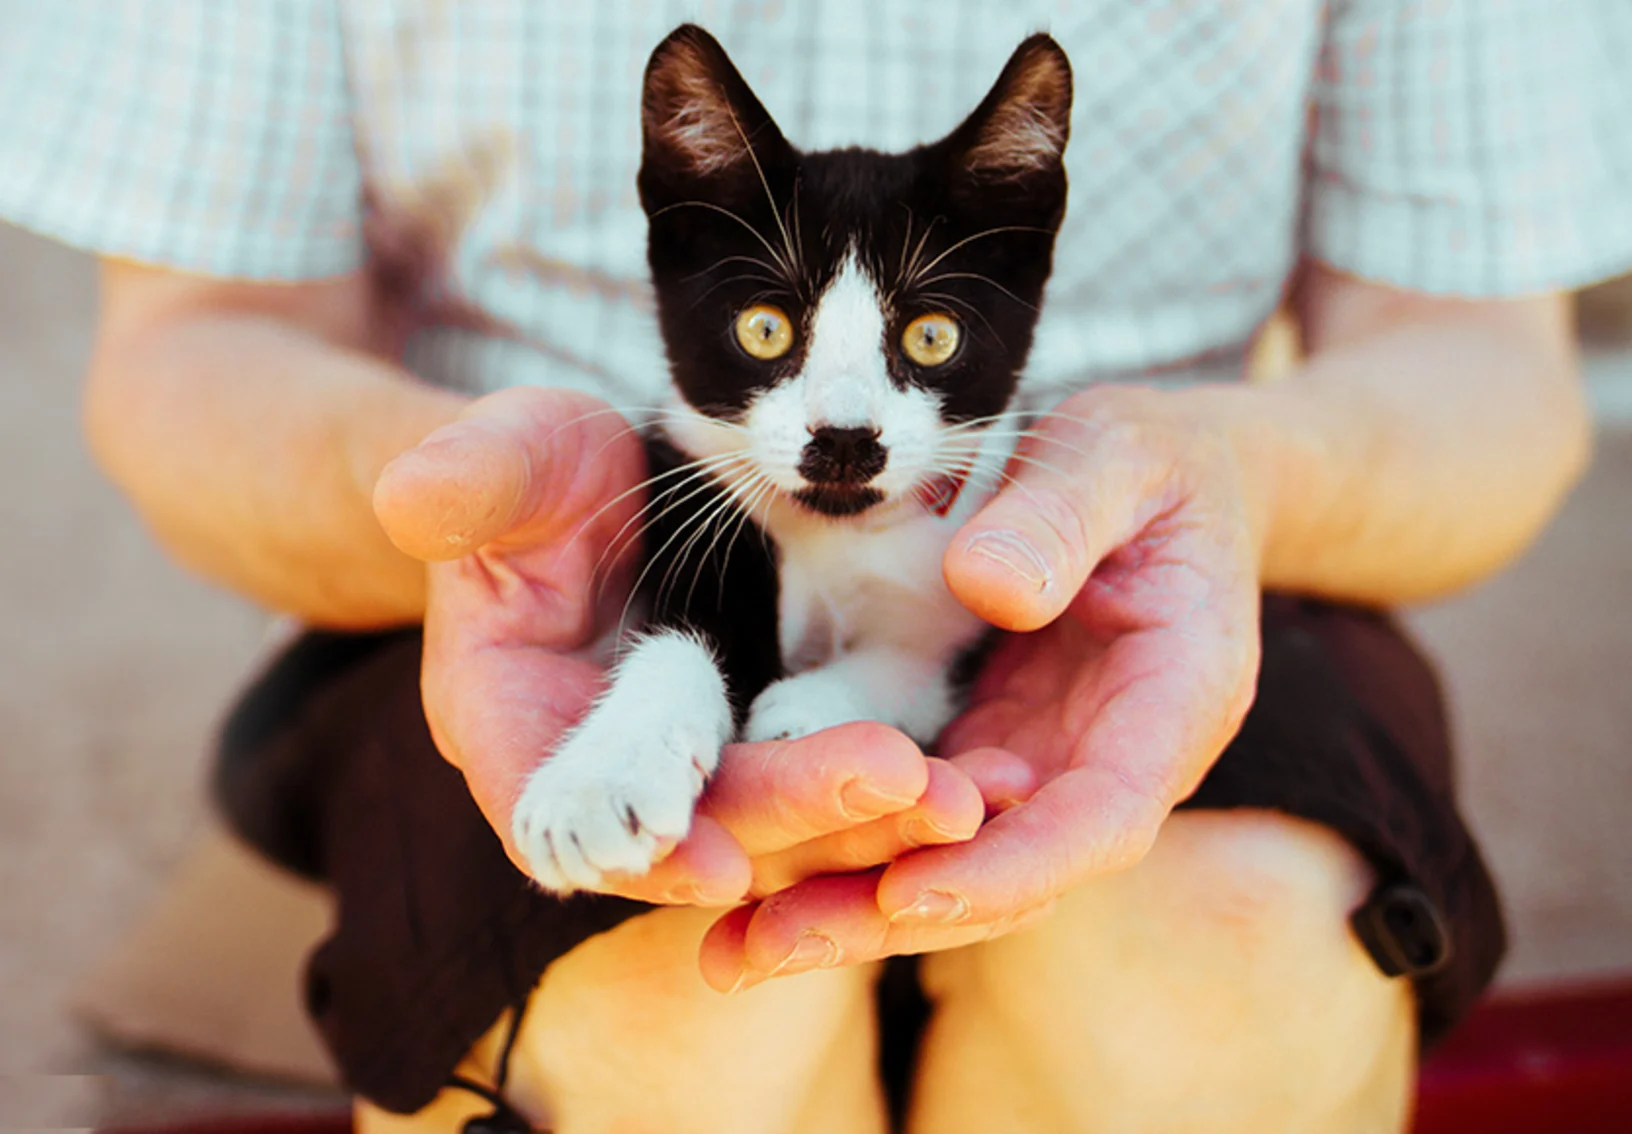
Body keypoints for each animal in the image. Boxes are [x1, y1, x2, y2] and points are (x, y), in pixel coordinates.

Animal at [512, 26, 1070, 894]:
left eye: (932, 336)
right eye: (764, 328)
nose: (844, 437)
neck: (835, 531)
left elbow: (920, 660)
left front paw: (811, 706)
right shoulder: (688, 488)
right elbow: (676, 638)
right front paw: (600, 781)